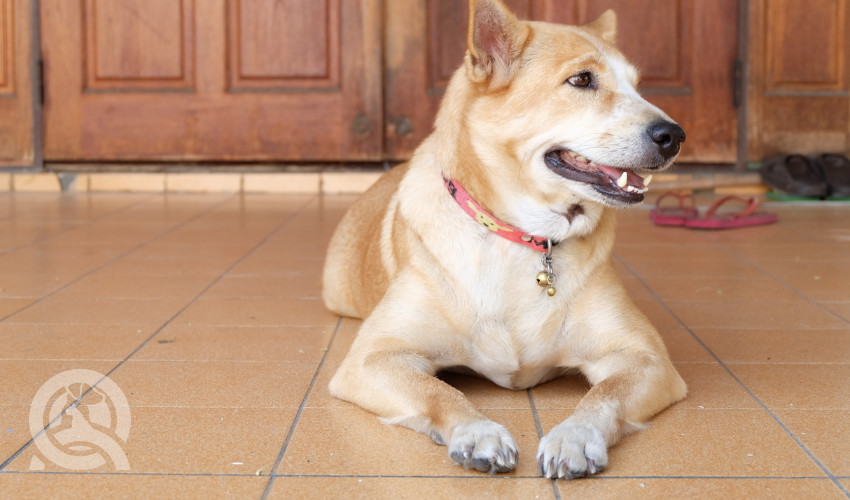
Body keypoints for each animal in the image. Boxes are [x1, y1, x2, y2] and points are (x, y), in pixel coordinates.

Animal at [322, 0, 684, 480]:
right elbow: (440, 392)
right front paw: (477, 432)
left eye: (638, 87)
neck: (526, 237)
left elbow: (605, 395)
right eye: (582, 80)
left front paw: (575, 436)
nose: (674, 136)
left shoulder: (646, 358)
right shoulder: (372, 359)